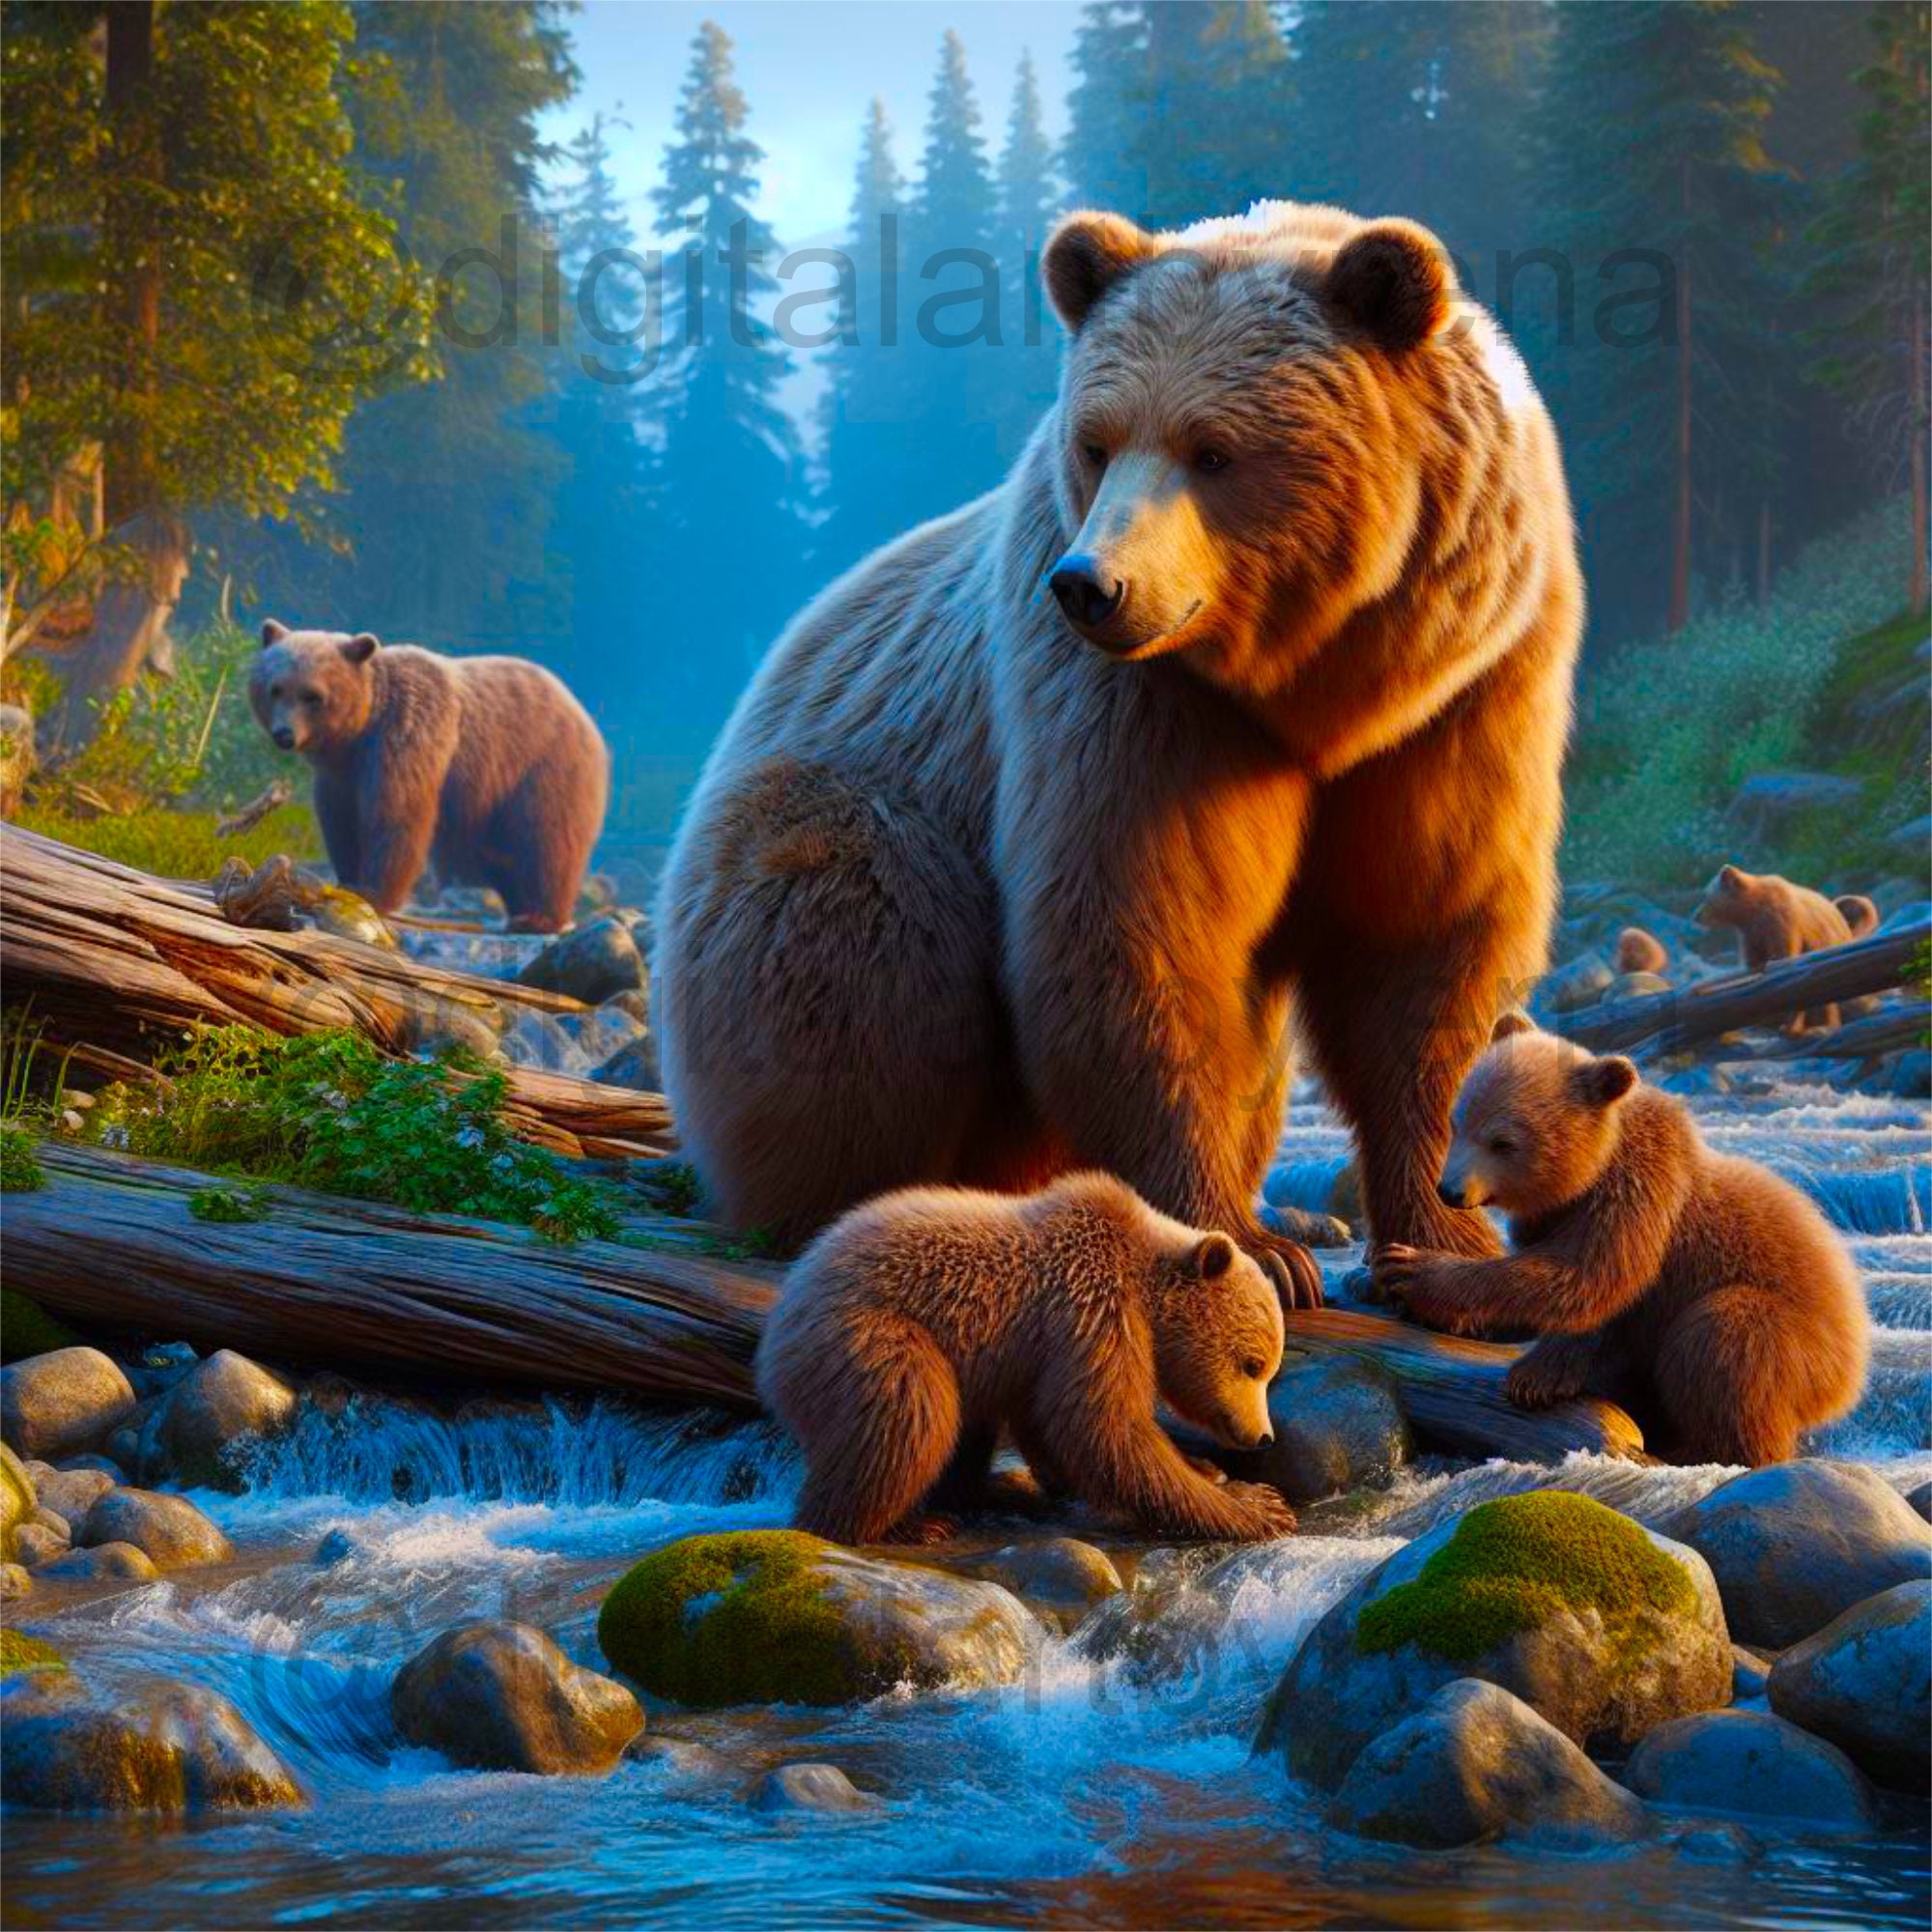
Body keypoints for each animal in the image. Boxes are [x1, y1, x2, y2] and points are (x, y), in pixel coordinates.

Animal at [250, 622, 608, 933]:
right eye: (276, 689)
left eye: (312, 695)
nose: (285, 734)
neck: (358, 731)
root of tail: (580, 710)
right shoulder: (341, 775)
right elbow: (340, 821)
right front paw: (346, 879)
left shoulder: (407, 737)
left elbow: (397, 814)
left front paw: (372, 892)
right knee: (484, 855)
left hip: (542, 766)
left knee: (547, 839)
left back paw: (538, 917)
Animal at [654, 201, 1583, 1290]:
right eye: (1097, 442)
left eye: (1212, 449)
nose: (1091, 585)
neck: (1318, 687)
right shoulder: (1140, 708)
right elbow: (1138, 924)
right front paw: (1248, 1244)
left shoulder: (1470, 691)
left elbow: (1425, 938)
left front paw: (1439, 1238)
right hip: (817, 830)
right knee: (851, 920)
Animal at [755, 1170, 1298, 1545]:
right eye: (1252, 1364)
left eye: (1270, 1371)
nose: (1263, 1436)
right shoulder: (1089, 1308)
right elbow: (1106, 1428)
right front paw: (1259, 1506)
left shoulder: (1041, 1349)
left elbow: (1051, 1424)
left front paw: (1209, 1469)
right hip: (870, 1335)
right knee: (908, 1415)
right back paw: (900, 1526)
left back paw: (989, 1490)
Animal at [1371, 1015, 1869, 1467]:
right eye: (1456, 1121)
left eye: (1503, 1142)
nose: (1450, 1190)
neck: (1589, 1171)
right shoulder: (1555, 1216)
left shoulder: (1640, 1194)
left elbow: (1588, 1278)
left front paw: (1412, 1269)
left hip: (1799, 1344)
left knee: (1724, 1337)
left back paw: (1703, 1450)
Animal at [1695, 863, 1857, 1032]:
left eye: (1705, 896)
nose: (1696, 915)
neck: (1751, 908)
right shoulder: (1750, 932)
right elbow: (1754, 961)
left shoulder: (1779, 919)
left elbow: (1783, 958)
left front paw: (1787, 1023)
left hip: (1827, 943)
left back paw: (1820, 1024)